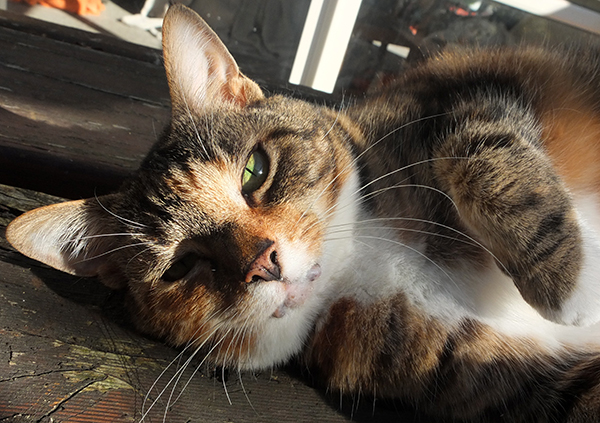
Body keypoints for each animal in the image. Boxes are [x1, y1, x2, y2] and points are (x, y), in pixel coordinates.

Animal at [8, 4, 600, 423]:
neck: (361, 255)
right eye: (181, 266)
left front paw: (566, 283)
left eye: (254, 171)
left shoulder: (468, 88)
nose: (263, 263)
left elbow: (476, 149)